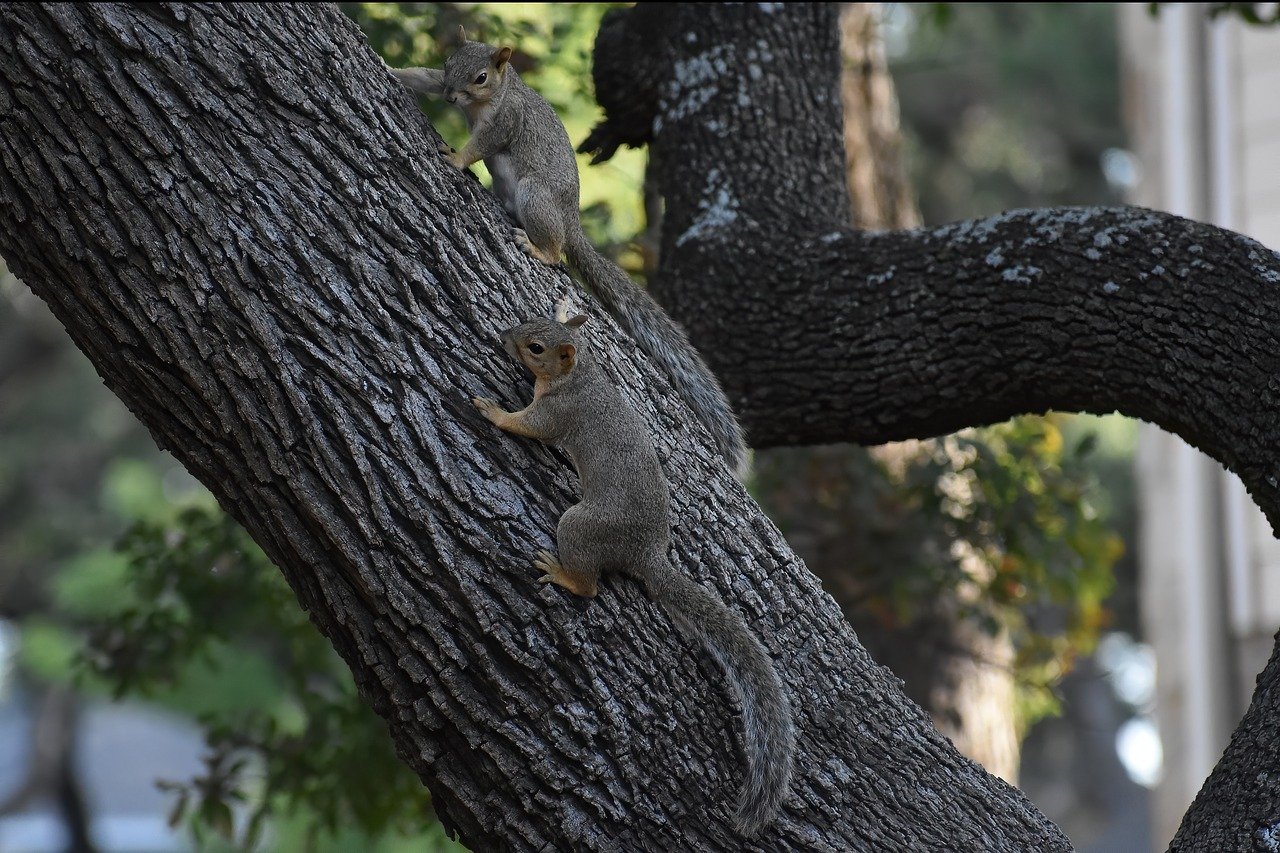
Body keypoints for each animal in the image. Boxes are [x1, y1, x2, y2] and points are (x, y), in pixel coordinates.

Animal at [389, 28, 747, 479]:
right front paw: (390, 70)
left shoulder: (506, 123)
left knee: (557, 252)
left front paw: (455, 158)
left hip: (535, 197)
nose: (453, 97)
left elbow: (481, 146)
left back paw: (538, 248)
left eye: (482, 77)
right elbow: (422, 77)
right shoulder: (440, 81)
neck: (495, 96)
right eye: (450, 63)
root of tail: (572, 224)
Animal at [476, 307, 793, 829]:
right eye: (531, 323)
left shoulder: (558, 414)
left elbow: (529, 426)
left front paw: (493, 412)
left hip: (582, 528)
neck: (579, 375)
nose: (504, 336)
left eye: (537, 347)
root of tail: (646, 554)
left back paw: (564, 574)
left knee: (590, 587)